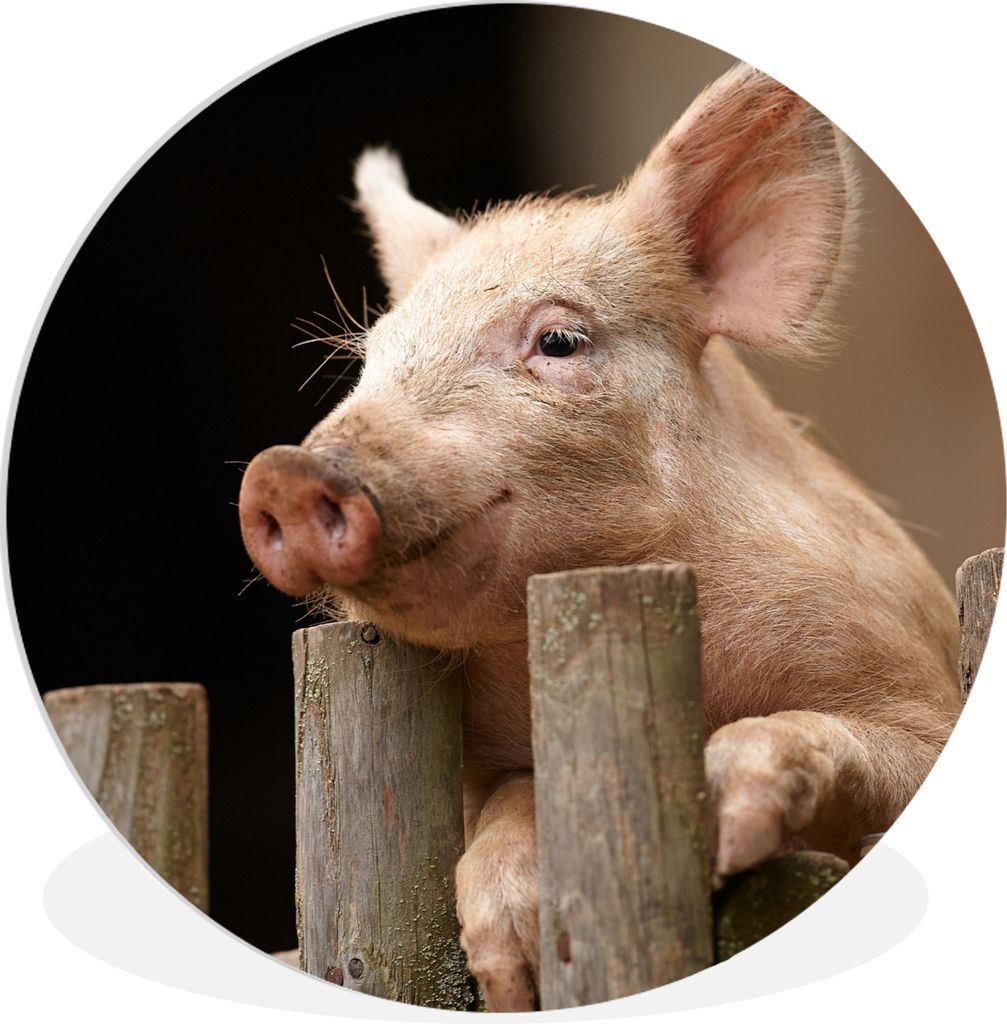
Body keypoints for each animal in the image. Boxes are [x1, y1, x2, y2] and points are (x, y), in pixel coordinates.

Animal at [238, 64, 961, 1011]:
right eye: (372, 359)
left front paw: (721, 816)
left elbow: (856, 742)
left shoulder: (904, 672)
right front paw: (510, 978)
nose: (282, 472)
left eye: (558, 339)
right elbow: (509, 800)